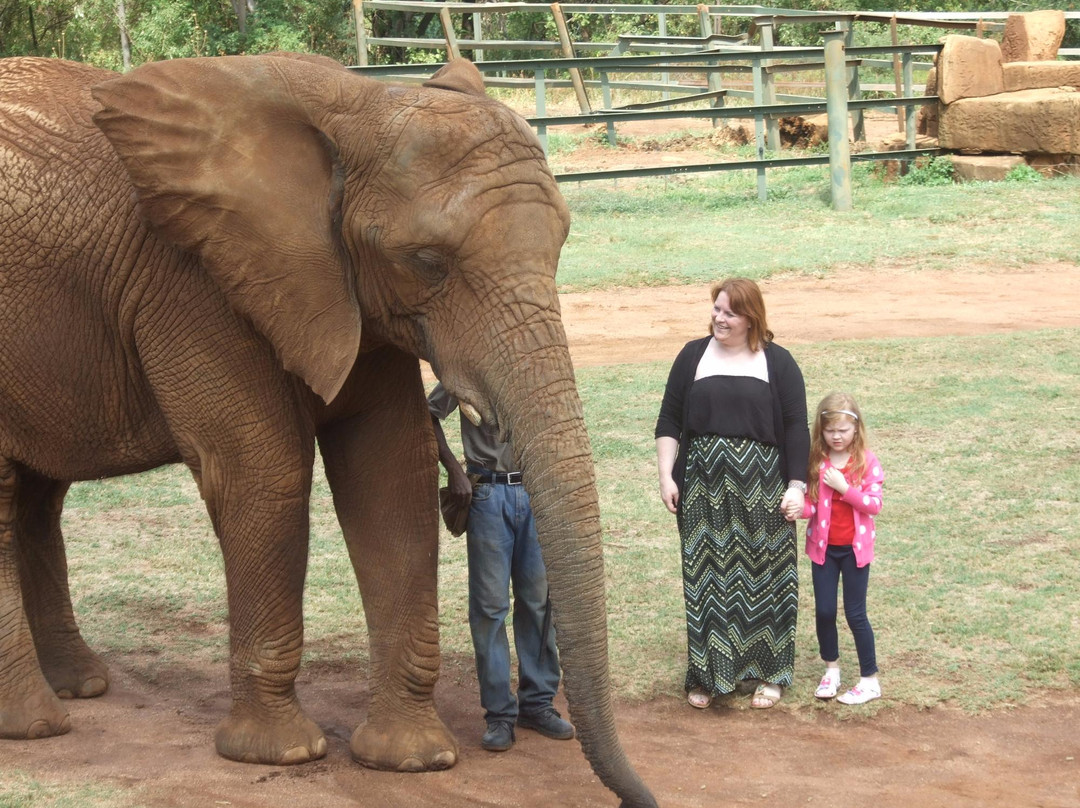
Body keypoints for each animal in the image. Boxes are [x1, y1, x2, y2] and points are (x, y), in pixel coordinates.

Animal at [0, 54, 657, 807]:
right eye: (427, 261)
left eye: (560, 245)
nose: (640, 796)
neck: (357, 103)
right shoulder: (192, 280)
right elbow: (264, 469)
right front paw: (280, 754)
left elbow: (390, 469)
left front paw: (413, 759)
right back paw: (37, 723)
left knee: (38, 497)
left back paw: (80, 686)